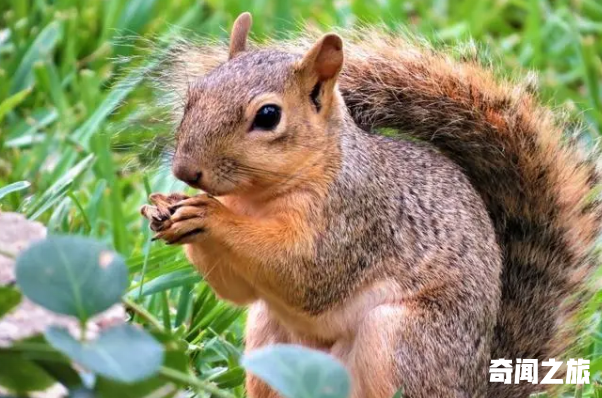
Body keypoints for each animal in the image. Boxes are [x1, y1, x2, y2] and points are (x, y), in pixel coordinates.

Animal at [142, 12, 600, 398]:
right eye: (194, 93)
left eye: (268, 115)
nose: (185, 170)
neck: (257, 198)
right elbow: (235, 289)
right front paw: (165, 208)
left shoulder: (357, 218)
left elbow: (304, 272)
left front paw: (209, 214)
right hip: (270, 342)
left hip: (400, 342)